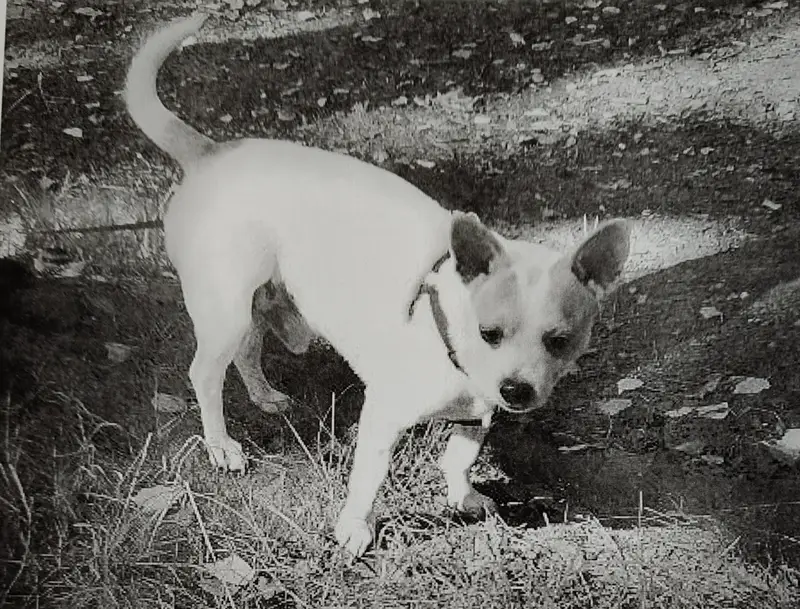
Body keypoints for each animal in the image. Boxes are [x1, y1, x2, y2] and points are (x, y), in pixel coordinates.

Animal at [125, 13, 632, 558]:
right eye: (489, 333)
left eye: (560, 341)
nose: (515, 390)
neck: (445, 332)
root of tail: (210, 152)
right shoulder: (384, 416)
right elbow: (369, 479)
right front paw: (355, 527)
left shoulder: (475, 416)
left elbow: (459, 457)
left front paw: (463, 495)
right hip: (226, 310)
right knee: (204, 373)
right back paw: (221, 446)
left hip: (253, 306)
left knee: (245, 352)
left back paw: (264, 396)